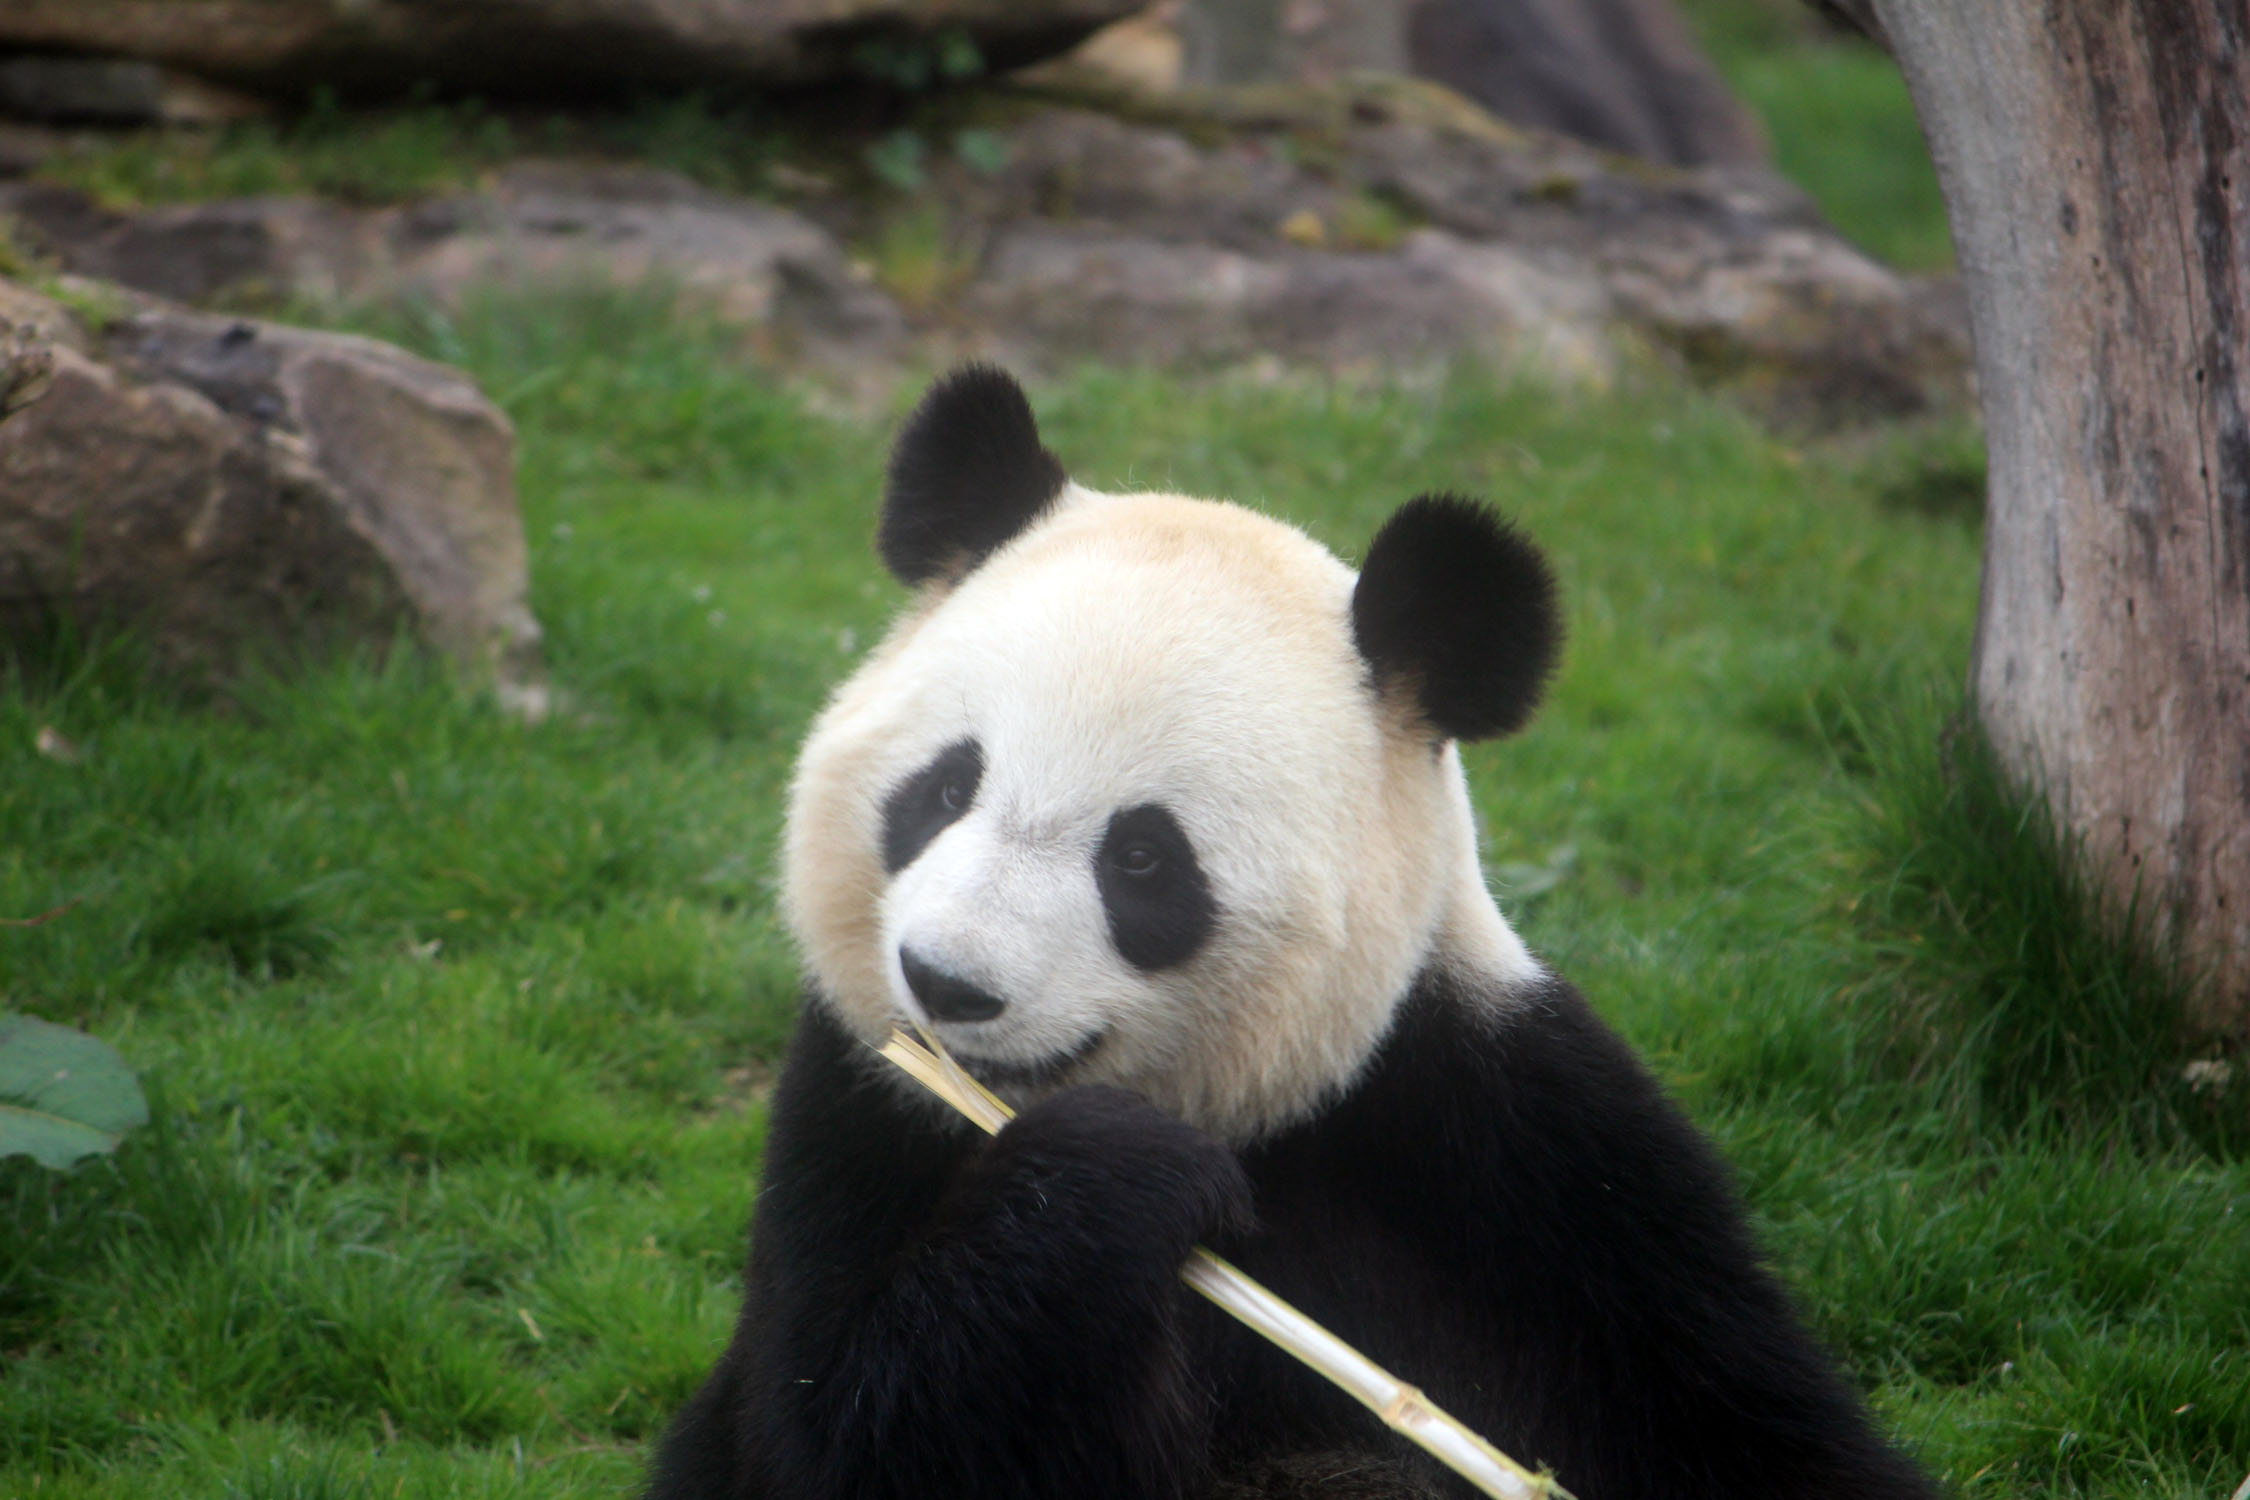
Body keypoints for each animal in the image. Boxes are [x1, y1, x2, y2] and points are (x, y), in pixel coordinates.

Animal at [648, 366, 1935, 1500]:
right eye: (943, 788)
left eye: (1143, 858)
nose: (947, 983)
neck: (1254, 1120)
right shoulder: (855, 1120)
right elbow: (830, 1426)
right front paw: (1117, 1171)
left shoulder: (1527, 1165)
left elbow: (1744, 1418)